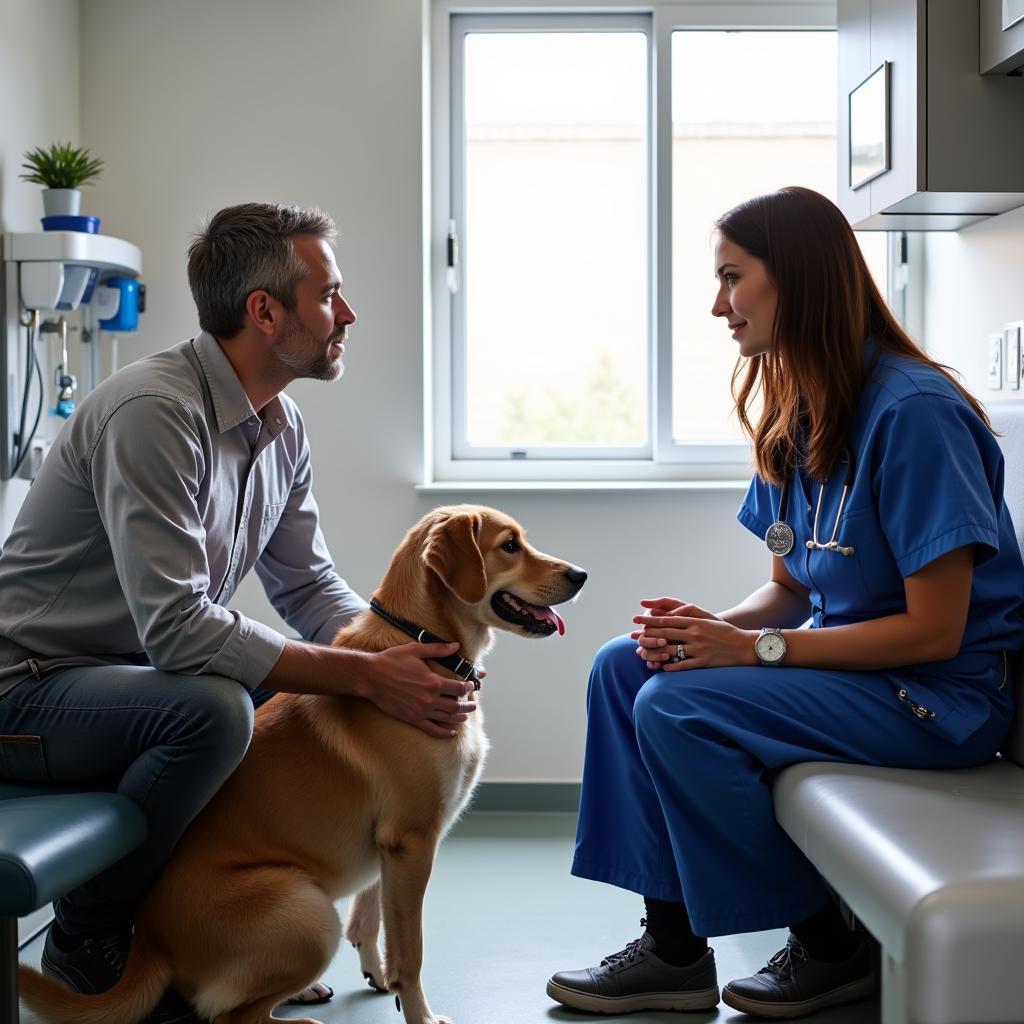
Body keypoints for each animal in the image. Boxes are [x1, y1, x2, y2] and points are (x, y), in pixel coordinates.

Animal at [18, 501, 585, 1024]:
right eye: (509, 545)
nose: (580, 575)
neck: (420, 639)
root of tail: (151, 942)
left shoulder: (388, 848)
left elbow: (371, 919)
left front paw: (380, 977)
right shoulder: (412, 840)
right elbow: (412, 950)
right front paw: (420, 1014)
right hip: (308, 912)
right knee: (229, 1016)